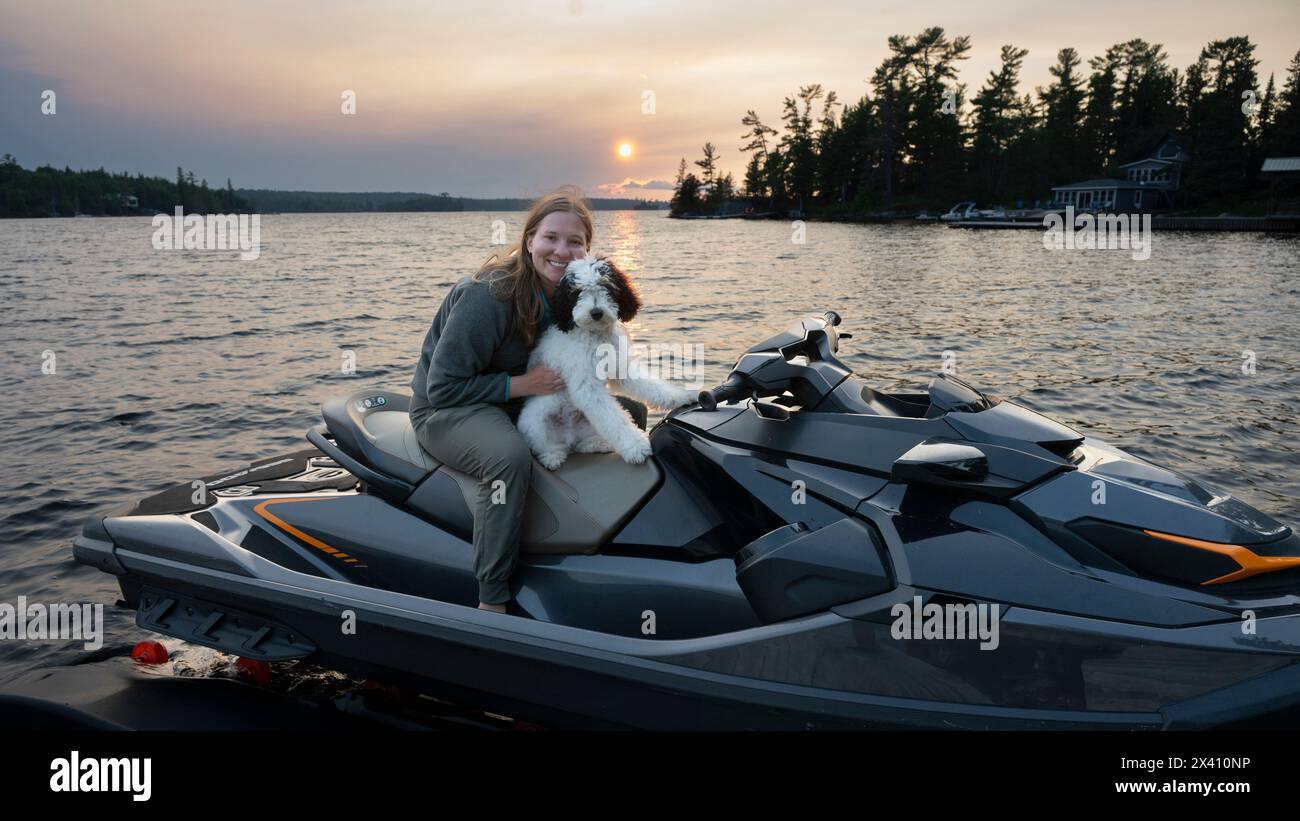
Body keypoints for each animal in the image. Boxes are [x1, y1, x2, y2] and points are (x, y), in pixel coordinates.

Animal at [517, 257, 702, 475]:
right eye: (578, 292)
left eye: (606, 286)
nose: (596, 312)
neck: (596, 335)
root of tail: (569, 435)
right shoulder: (586, 386)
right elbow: (614, 418)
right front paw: (635, 446)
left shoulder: (621, 368)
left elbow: (651, 387)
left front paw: (681, 396)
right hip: (534, 423)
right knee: (546, 445)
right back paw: (552, 456)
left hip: (587, 425)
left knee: (581, 443)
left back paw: (598, 443)